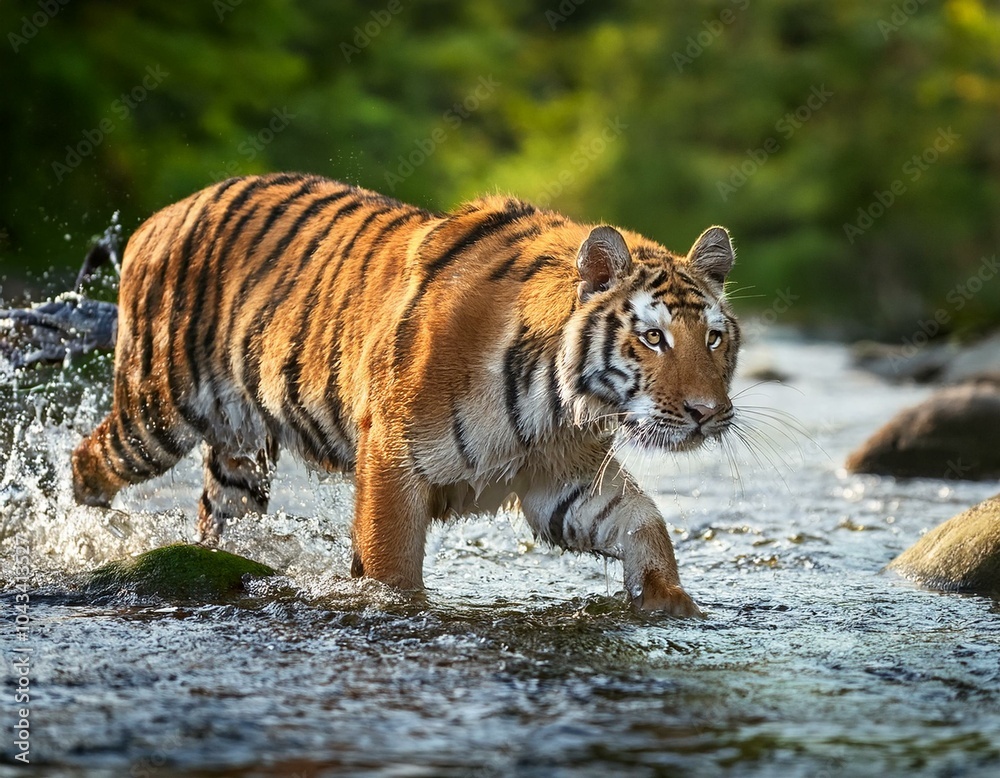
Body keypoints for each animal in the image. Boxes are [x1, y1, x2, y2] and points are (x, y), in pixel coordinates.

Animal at [70, 172, 741, 616]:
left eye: (713, 337)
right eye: (652, 337)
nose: (708, 414)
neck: (558, 400)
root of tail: (159, 216)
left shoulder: (559, 480)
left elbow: (644, 521)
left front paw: (670, 603)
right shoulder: (394, 459)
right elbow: (391, 570)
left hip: (241, 453)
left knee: (218, 519)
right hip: (158, 412)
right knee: (86, 462)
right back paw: (86, 543)